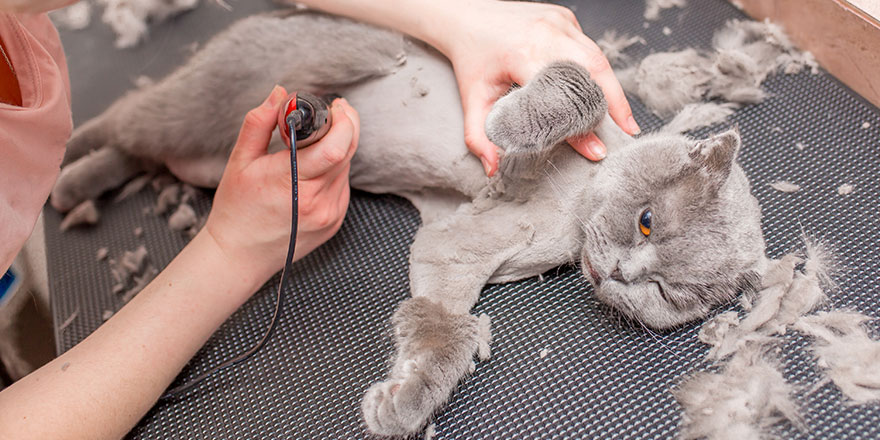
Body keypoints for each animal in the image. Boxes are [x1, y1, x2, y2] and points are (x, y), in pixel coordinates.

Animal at [53, 10, 768, 436]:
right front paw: (509, 124)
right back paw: (61, 156)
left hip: (205, 154)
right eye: (647, 221)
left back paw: (73, 183)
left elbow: (443, 326)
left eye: (667, 292)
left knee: (139, 151)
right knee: (125, 118)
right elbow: (576, 83)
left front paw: (406, 400)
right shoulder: (568, 103)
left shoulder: (450, 245)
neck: (569, 219)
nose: (622, 270)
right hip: (216, 94)